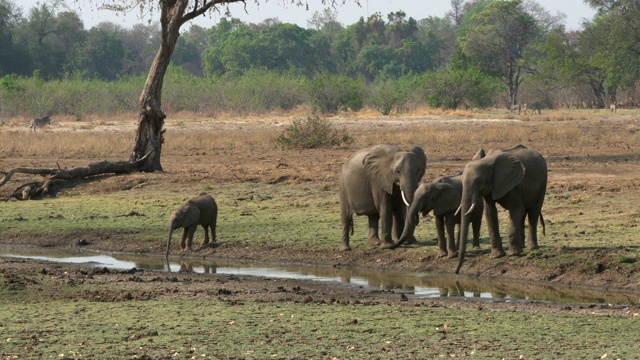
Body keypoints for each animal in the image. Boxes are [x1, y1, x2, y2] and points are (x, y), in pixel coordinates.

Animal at [452, 143, 548, 272]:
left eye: (479, 182)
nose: (456, 271)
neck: (487, 161)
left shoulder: (512, 183)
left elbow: (516, 209)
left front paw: (513, 254)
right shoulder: (491, 186)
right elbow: (490, 213)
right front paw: (496, 256)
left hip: (543, 180)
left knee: (533, 212)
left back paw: (531, 248)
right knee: (523, 214)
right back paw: (521, 247)